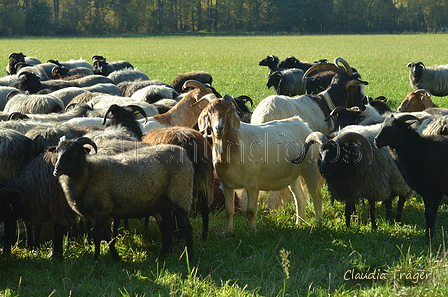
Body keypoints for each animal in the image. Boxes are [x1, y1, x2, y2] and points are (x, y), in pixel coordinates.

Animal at [50, 136, 194, 262]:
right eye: (57, 151)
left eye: (74, 152)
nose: (57, 170)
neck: (88, 173)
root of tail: (184, 153)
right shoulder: (103, 213)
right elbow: (107, 237)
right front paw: (116, 258)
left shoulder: (101, 209)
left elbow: (97, 236)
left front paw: (96, 260)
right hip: (163, 205)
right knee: (168, 230)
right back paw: (161, 258)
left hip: (181, 196)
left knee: (187, 229)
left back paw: (189, 259)